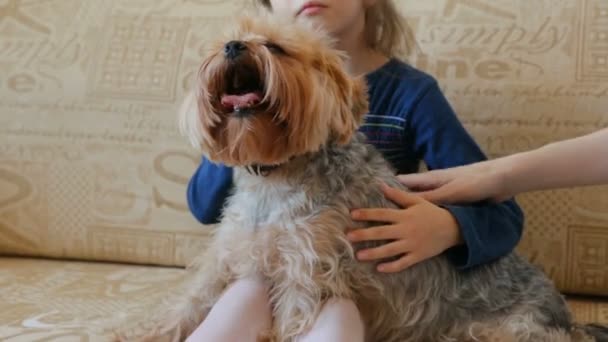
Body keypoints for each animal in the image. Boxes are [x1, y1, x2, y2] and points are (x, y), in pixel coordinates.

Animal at [121, 15, 604, 342]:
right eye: (223, 41)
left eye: (276, 48)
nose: (234, 46)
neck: (276, 176)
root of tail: (568, 318)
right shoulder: (232, 254)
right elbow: (190, 301)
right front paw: (146, 329)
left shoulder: (304, 271)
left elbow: (291, 318)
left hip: (495, 331)